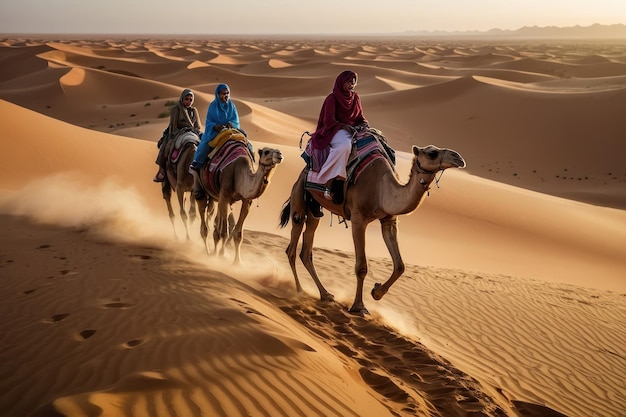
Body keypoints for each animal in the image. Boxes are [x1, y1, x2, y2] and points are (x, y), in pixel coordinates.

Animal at [278, 145, 464, 314]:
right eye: (432, 153)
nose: (459, 158)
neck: (382, 190)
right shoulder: (358, 219)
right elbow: (361, 267)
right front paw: (359, 307)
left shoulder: (389, 221)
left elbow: (400, 265)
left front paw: (376, 292)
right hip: (299, 197)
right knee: (292, 247)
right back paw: (299, 289)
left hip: (315, 208)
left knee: (306, 247)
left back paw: (325, 294)